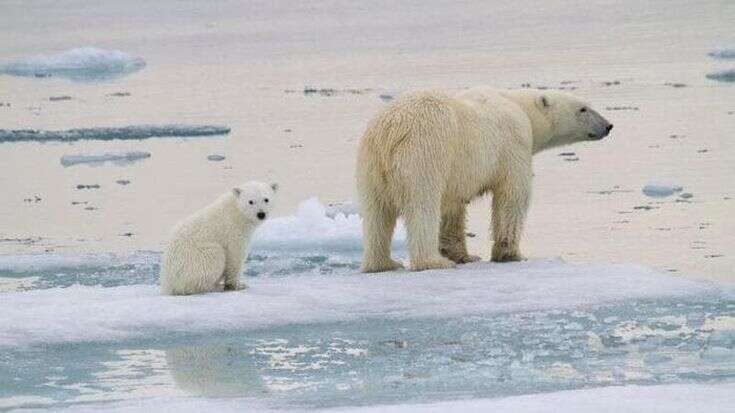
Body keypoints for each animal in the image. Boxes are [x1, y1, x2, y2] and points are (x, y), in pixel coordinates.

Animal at [356, 87, 616, 270]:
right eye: (583, 109)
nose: (608, 125)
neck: (521, 108)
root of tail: (390, 132)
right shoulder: (514, 145)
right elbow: (512, 196)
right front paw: (510, 254)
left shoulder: (457, 173)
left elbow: (453, 208)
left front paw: (463, 255)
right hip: (424, 153)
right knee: (423, 206)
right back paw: (432, 261)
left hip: (370, 165)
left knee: (376, 214)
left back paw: (383, 263)